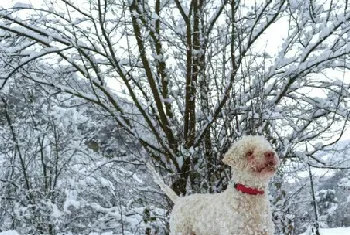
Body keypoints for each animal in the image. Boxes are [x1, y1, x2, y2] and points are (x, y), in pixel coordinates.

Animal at [148, 135, 278, 234]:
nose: (271, 153)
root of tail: (180, 200)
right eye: (249, 153)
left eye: (267, 146)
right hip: (181, 230)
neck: (251, 194)